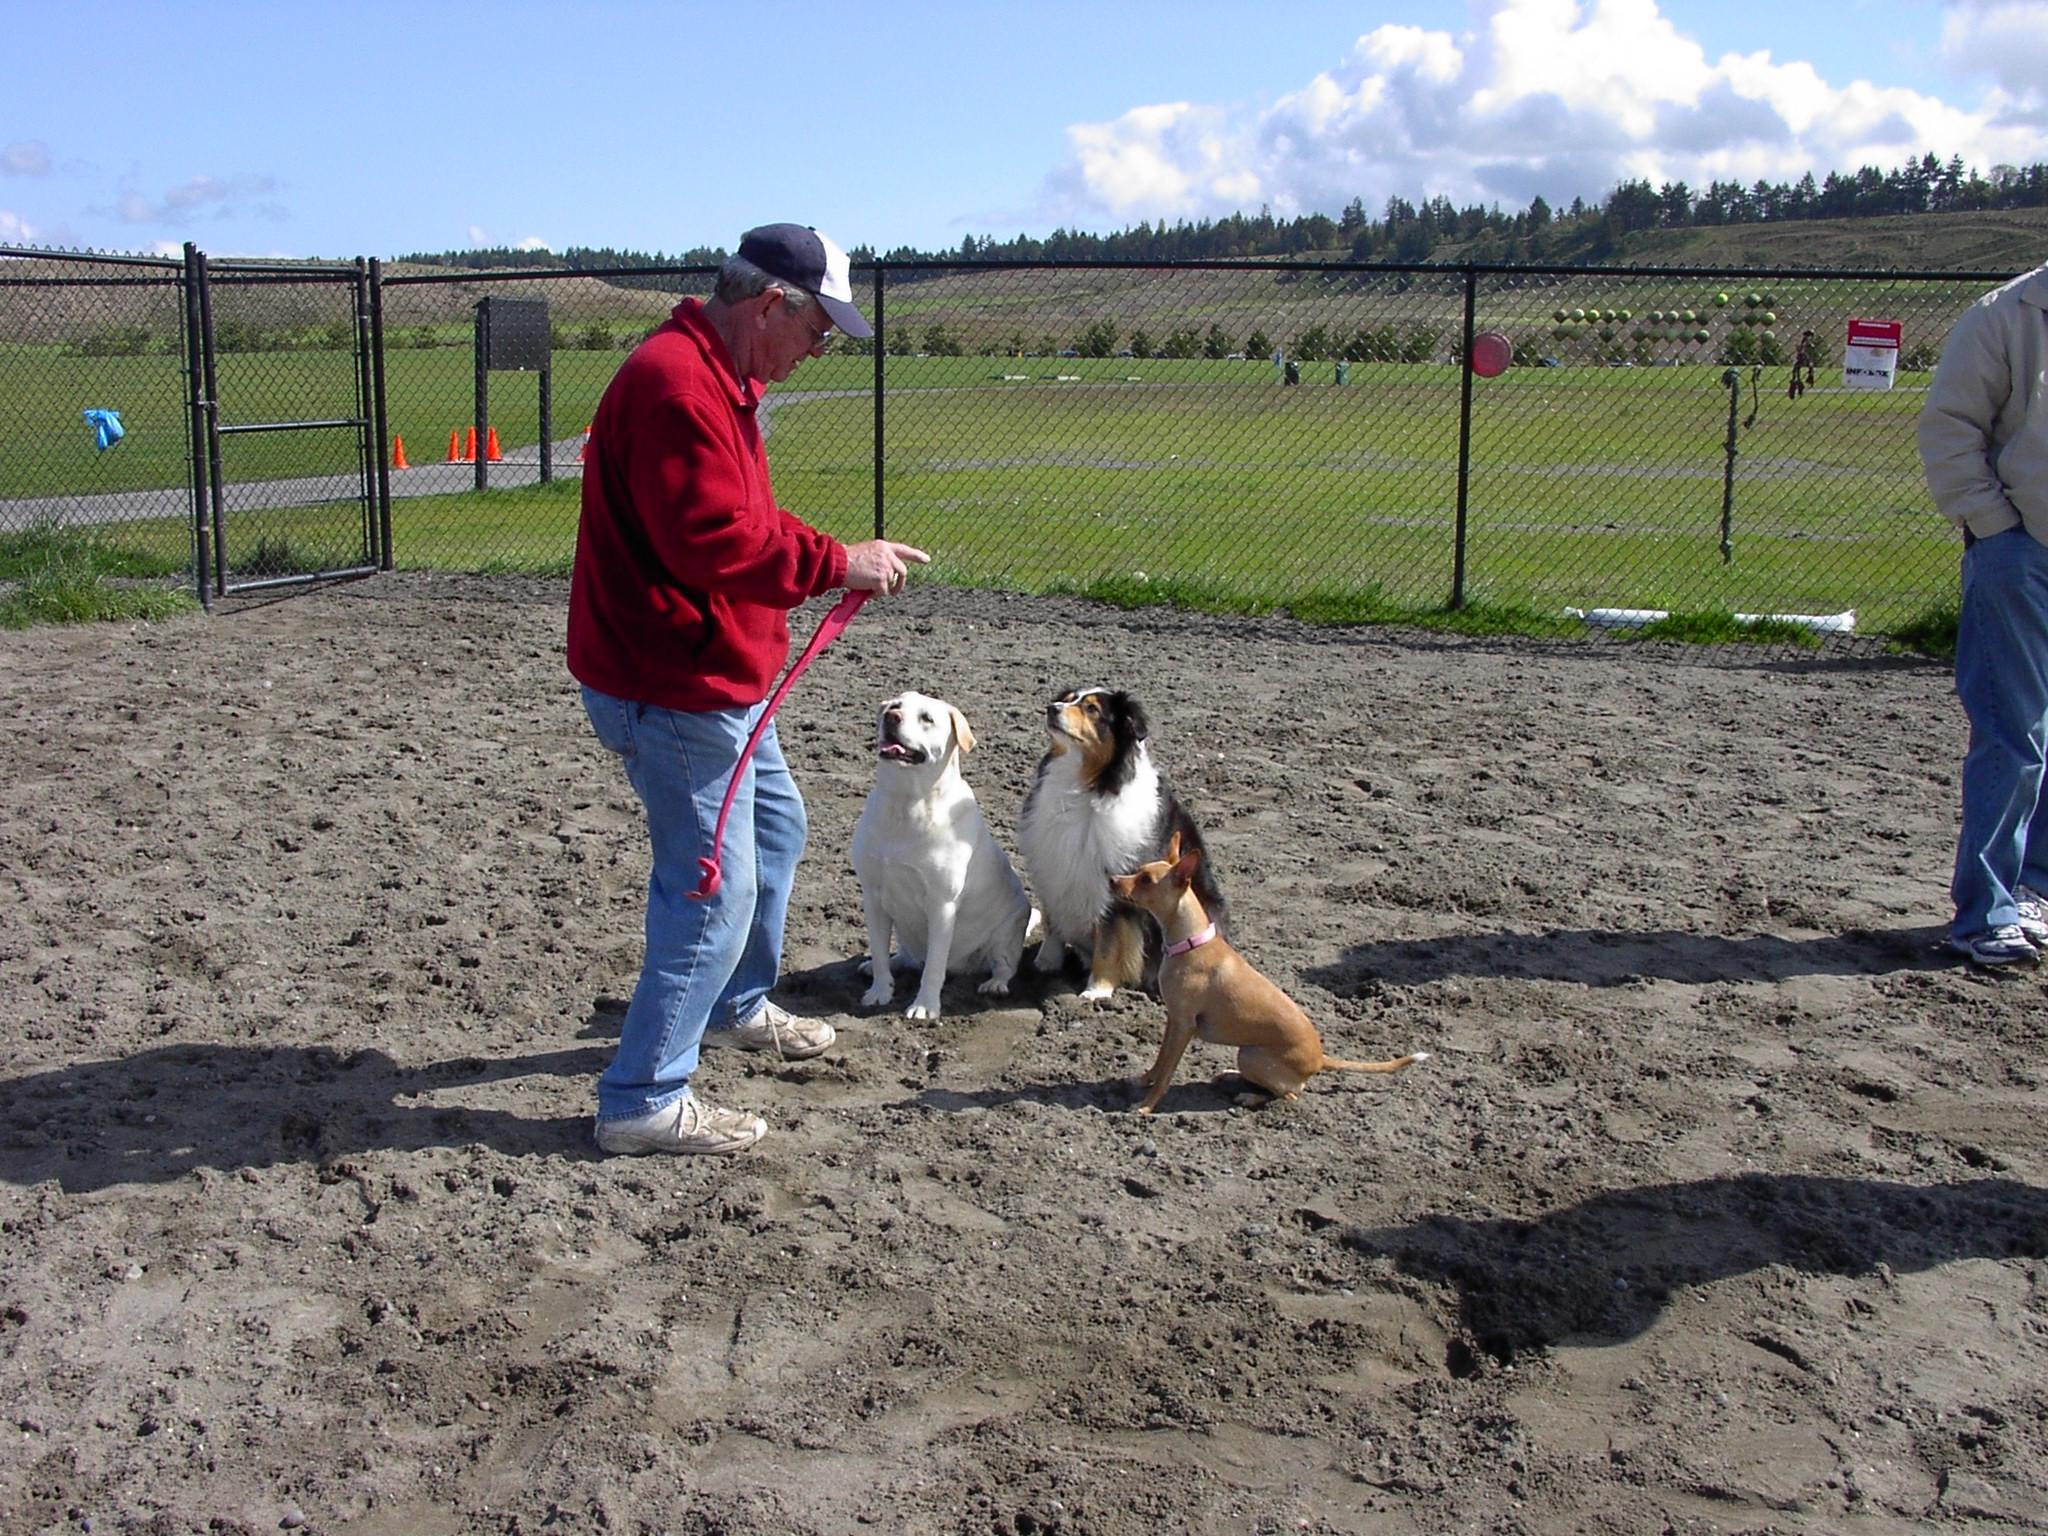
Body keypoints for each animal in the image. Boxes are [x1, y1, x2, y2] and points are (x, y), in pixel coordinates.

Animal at [847, 696, 1040, 1024]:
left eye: (927, 718)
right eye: (895, 704)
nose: (891, 716)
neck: (906, 802)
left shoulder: (942, 904)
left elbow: (934, 967)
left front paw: (925, 1006)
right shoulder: (872, 896)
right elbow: (880, 950)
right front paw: (879, 991)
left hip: (1007, 930)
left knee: (1004, 965)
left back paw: (994, 984)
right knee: (903, 957)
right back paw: (877, 965)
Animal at [1007, 688, 1212, 1003]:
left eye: (1092, 710)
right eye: (1068, 698)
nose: (1052, 708)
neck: (1087, 786)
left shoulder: (1116, 888)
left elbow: (1110, 942)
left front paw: (1096, 990)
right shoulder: (1053, 867)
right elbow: (1053, 923)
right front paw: (1046, 963)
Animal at [1105, 835, 1425, 1114]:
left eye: (1146, 880)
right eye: (1138, 871)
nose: (1112, 880)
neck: (1191, 942)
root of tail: (1320, 1059)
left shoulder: (1184, 1026)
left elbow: (1166, 1074)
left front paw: (1146, 1106)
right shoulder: (1173, 1019)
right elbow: (1159, 1062)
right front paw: (1142, 1080)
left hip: (1251, 1055)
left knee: (1290, 1095)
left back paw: (1249, 1097)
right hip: (1247, 1056)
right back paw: (1230, 1075)